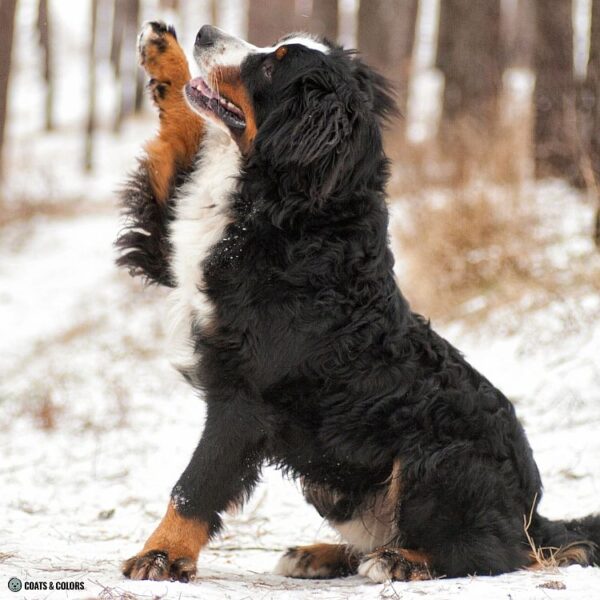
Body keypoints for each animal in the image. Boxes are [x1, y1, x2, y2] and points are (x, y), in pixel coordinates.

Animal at [115, 22, 596, 580]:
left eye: (274, 64)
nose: (206, 30)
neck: (297, 210)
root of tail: (532, 514)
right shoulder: (169, 251)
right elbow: (178, 136)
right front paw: (162, 54)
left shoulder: (245, 399)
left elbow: (195, 485)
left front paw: (160, 555)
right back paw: (320, 553)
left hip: (438, 458)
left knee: (492, 551)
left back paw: (398, 562)